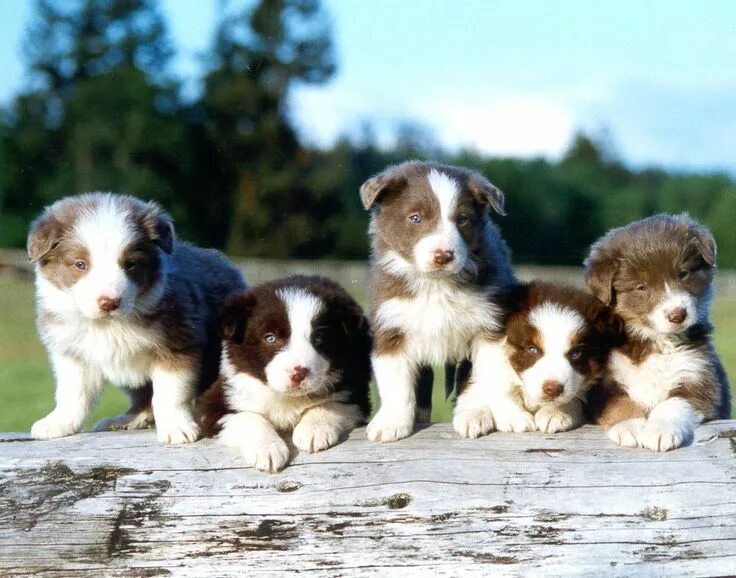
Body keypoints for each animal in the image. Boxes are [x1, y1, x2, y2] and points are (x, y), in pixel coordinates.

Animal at [27, 192, 246, 440]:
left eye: (130, 264)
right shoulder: (73, 354)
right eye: (80, 264)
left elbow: (170, 393)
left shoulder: (178, 345)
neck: (108, 325)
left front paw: (176, 427)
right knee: (143, 399)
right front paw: (59, 423)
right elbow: (73, 393)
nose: (109, 302)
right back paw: (124, 420)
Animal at [198, 276, 370, 472]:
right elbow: (247, 417)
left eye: (318, 338)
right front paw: (267, 450)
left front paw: (313, 431)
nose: (299, 374)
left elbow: (331, 403)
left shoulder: (355, 393)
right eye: (270, 338)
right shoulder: (215, 403)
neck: (287, 397)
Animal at [360, 160, 516, 438]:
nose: (443, 255)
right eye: (416, 218)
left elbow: (480, 377)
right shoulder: (390, 325)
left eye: (462, 219)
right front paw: (391, 423)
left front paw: (474, 415)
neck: (435, 285)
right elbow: (395, 382)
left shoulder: (488, 326)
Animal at [454, 280, 620, 436]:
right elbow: (494, 385)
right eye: (533, 350)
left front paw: (554, 413)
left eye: (576, 352)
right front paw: (510, 416)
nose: (553, 389)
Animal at [584, 213, 732, 450]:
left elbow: (673, 403)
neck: (656, 340)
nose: (677, 314)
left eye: (683, 274)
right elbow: (619, 402)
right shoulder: (603, 384)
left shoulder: (700, 379)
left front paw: (660, 432)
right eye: (641, 287)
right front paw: (630, 427)